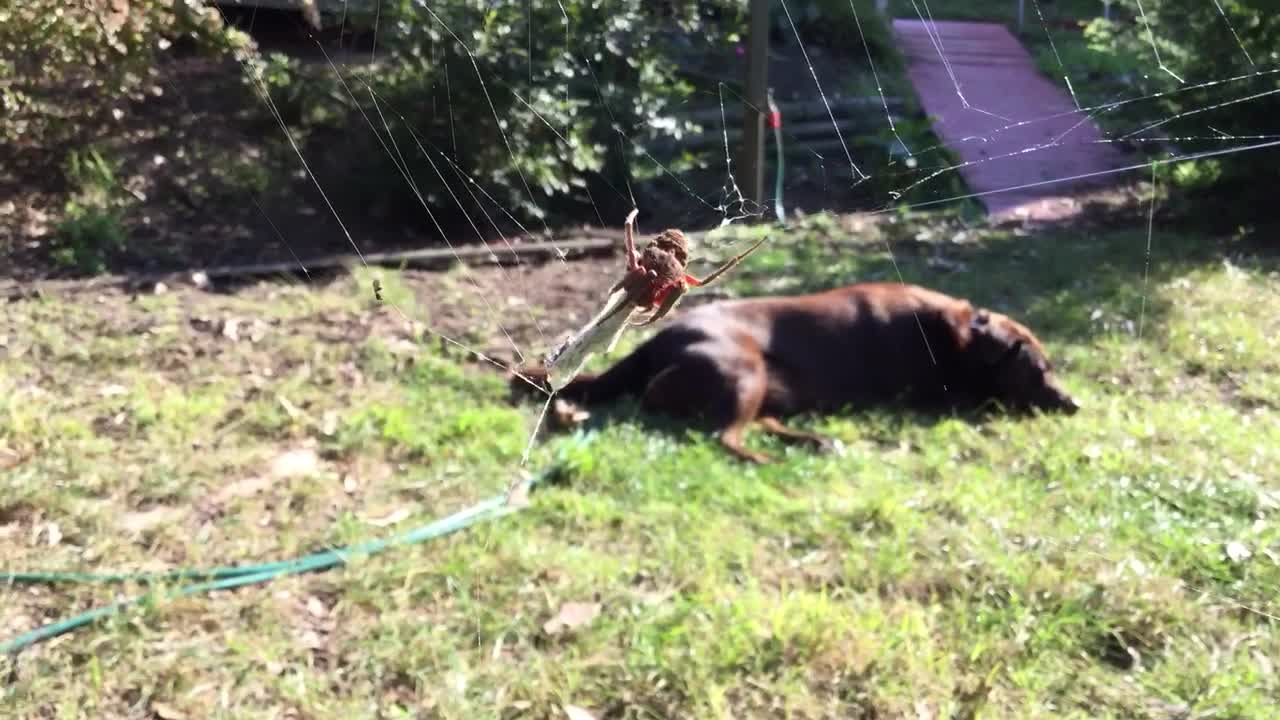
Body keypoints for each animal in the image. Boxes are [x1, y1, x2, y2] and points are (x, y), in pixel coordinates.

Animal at [512, 280, 1080, 458]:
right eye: (1039, 370)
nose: (1075, 403)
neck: (957, 334)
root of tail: (657, 343)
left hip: (768, 388)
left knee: (757, 424)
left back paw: (813, 441)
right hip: (745, 371)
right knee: (725, 436)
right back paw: (768, 457)